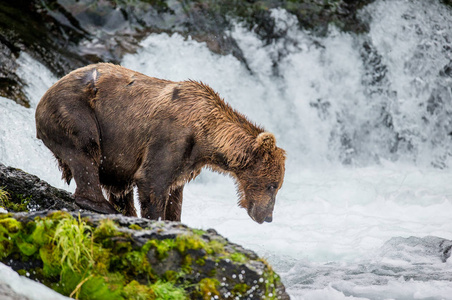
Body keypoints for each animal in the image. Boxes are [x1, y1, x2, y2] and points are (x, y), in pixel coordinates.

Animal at [37, 62, 288, 223]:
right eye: (272, 185)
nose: (267, 217)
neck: (206, 135)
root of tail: (46, 92)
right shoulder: (170, 138)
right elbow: (153, 181)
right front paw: (155, 218)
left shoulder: (188, 159)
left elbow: (175, 193)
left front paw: (175, 220)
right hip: (76, 110)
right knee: (85, 149)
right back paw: (100, 204)